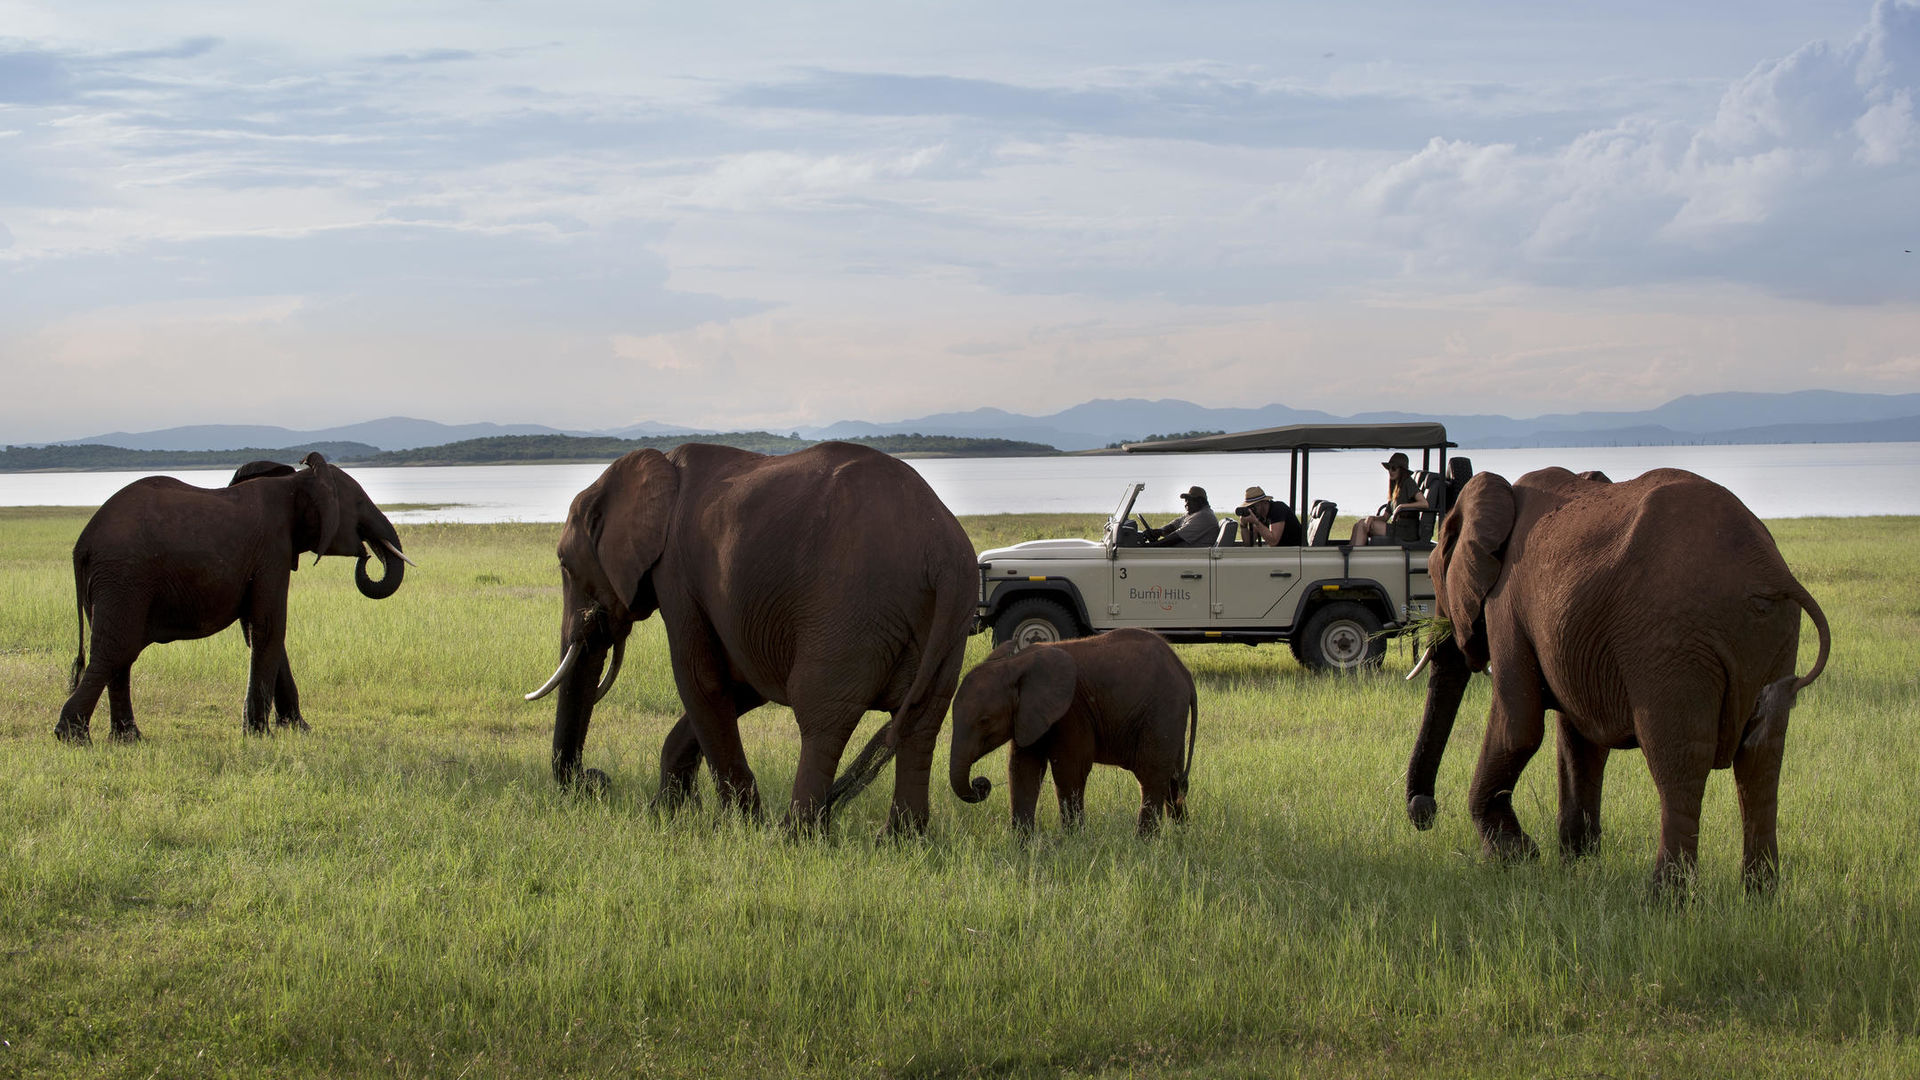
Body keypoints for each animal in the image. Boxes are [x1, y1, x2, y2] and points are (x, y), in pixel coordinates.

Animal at [56, 451, 408, 737]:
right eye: (359, 504)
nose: (365, 556)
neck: (297, 480)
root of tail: (82, 544)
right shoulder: (272, 550)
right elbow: (269, 626)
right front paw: (259, 735)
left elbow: (256, 630)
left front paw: (297, 729)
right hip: (125, 578)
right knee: (115, 650)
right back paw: (73, 737)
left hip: (114, 583)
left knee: (120, 656)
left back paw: (128, 739)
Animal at [526, 441, 975, 826]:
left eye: (564, 565)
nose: (594, 782)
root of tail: (944, 553)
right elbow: (739, 683)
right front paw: (666, 813)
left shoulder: (677, 572)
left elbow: (699, 680)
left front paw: (739, 824)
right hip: (945, 626)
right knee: (922, 722)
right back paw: (901, 839)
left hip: (853, 609)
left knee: (822, 717)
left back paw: (795, 835)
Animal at [948, 622, 1190, 834]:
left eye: (984, 721)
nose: (980, 783)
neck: (1016, 662)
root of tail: (1183, 670)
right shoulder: (1028, 714)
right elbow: (1022, 769)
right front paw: (1022, 846)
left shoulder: (1071, 712)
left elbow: (1069, 770)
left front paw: (1073, 841)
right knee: (1173, 780)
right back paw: (1180, 835)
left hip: (1162, 710)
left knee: (1151, 776)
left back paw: (1144, 841)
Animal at [1413, 465, 1827, 891]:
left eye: (1433, 575)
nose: (1424, 813)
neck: (1501, 498)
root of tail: (1766, 570)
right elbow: (1580, 741)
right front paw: (1576, 865)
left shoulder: (1507, 604)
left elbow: (1519, 728)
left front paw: (1513, 857)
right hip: (1773, 635)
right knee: (1761, 757)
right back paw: (1759, 897)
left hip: (1672, 642)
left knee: (1678, 758)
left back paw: (1665, 897)